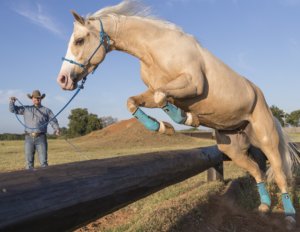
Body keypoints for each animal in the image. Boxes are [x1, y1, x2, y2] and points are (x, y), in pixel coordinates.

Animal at [57, 0, 298, 228]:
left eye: (79, 40)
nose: (63, 80)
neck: (156, 48)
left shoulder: (193, 84)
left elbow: (161, 97)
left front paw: (188, 119)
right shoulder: (154, 90)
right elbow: (137, 101)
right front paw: (163, 127)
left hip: (267, 140)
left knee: (280, 175)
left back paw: (289, 216)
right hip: (233, 149)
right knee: (257, 171)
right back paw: (264, 206)